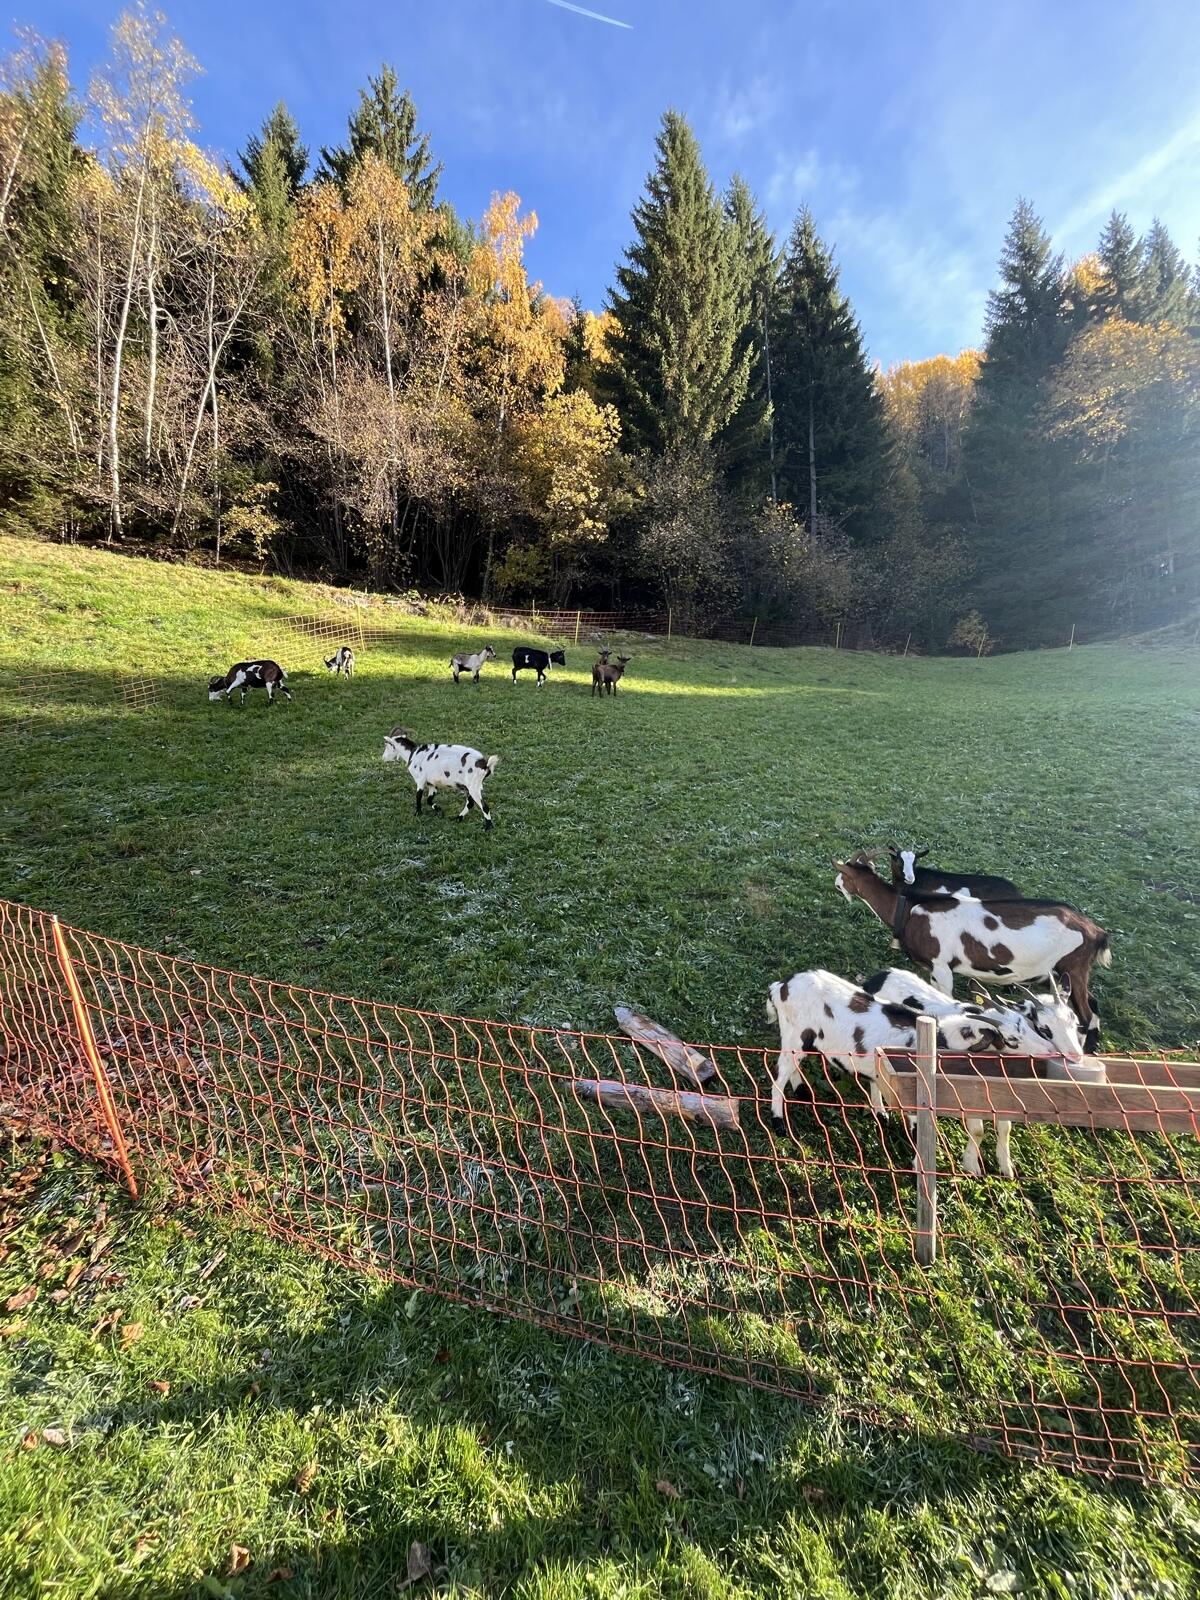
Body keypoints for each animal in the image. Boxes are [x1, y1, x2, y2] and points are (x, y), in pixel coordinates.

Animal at [766, 970, 1011, 1158]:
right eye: (1010, 1040)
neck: (941, 1036)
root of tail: (781, 987)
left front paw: (881, 1114)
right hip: (795, 1036)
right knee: (779, 1073)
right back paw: (778, 1122)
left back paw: (802, 1091)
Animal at [833, 852, 1111, 1051]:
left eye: (843, 873)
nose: (835, 884)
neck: (909, 907)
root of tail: (1096, 932)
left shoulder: (942, 966)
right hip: (1066, 973)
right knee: (1092, 1005)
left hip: (1073, 966)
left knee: (1086, 1014)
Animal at [860, 968, 1091, 1176]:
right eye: (1044, 1028)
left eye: (1075, 1022)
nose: (1074, 1055)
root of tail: (879, 976)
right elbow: (978, 1130)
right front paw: (972, 1167)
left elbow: (1005, 1128)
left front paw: (1007, 1168)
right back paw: (880, 1111)